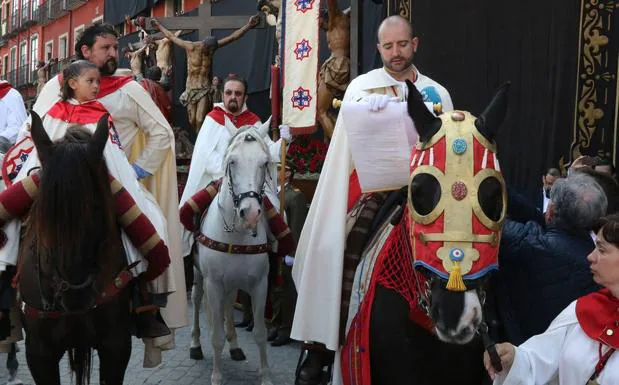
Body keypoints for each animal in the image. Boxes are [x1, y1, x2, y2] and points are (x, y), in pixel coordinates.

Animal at [191, 121, 274, 384]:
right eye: (232, 162)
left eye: (264, 163)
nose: (250, 213)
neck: (236, 234)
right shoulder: (214, 284)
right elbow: (216, 336)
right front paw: (217, 376)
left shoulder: (259, 284)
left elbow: (260, 333)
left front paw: (265, 376)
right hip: (199, 276)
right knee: (196, 300)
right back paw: (195, 345)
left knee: (228, 304)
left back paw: (235, 346)